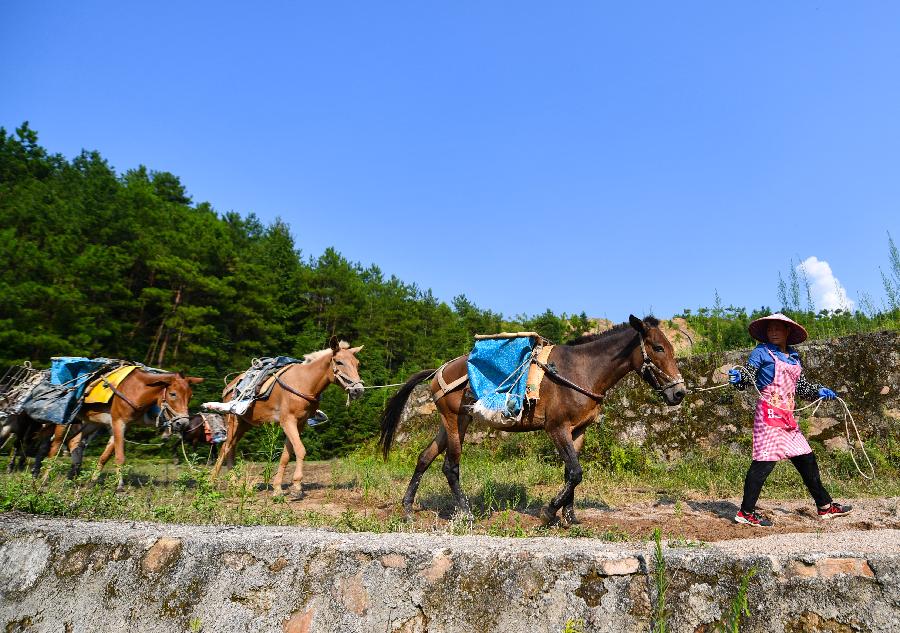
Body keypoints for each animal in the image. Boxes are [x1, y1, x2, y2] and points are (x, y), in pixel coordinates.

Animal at [211, 336, 364, 499]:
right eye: (339, 362)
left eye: (357, 364)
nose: (358, 390)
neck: (304, 382)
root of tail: (230, 386)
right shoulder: (288, 421)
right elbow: (300, 450)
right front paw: (296, 487)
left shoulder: (299, 424)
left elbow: (286, 454)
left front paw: (278, 488)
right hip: (233, 421)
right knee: (225, 448)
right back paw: (211, 483)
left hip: (244, 424)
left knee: (231, 448)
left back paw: (235, 485)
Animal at [378, 315, 687, 527]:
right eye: (658, 347)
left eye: (671, 348)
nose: (679, 392)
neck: (581, 370)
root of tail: (439, 370)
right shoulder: (556, 428)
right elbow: (576, 472)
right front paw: (550, 512)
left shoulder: (578, 431)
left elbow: (570, 472)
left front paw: (569, 516)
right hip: (454, 420)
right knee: (450, 467)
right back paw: (465, 512)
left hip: (455, 421)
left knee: (424, 458)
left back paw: (407, 508)